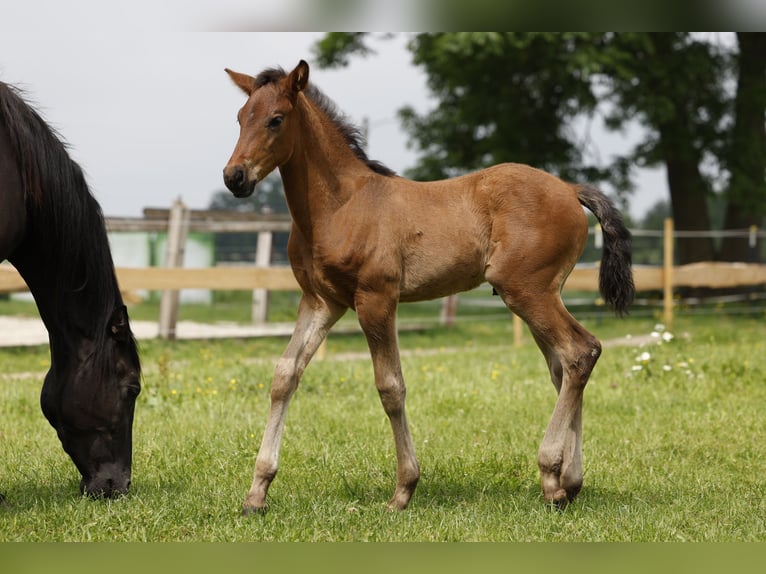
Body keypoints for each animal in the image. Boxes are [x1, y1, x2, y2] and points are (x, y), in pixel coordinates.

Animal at [224, 60, 636, 516]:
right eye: (240, 118)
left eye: (276, 119)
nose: (234, 177)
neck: (340, 205)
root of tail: (569, 189)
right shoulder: (321, 301)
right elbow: (285, 375)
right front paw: (257, 493)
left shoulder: (376, 299)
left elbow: (390, 387)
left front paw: (403, 490)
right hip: (542, 294)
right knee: (564, 366)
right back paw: (568, 482)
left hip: (528, 291)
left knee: (580, 352)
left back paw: (551, 475)